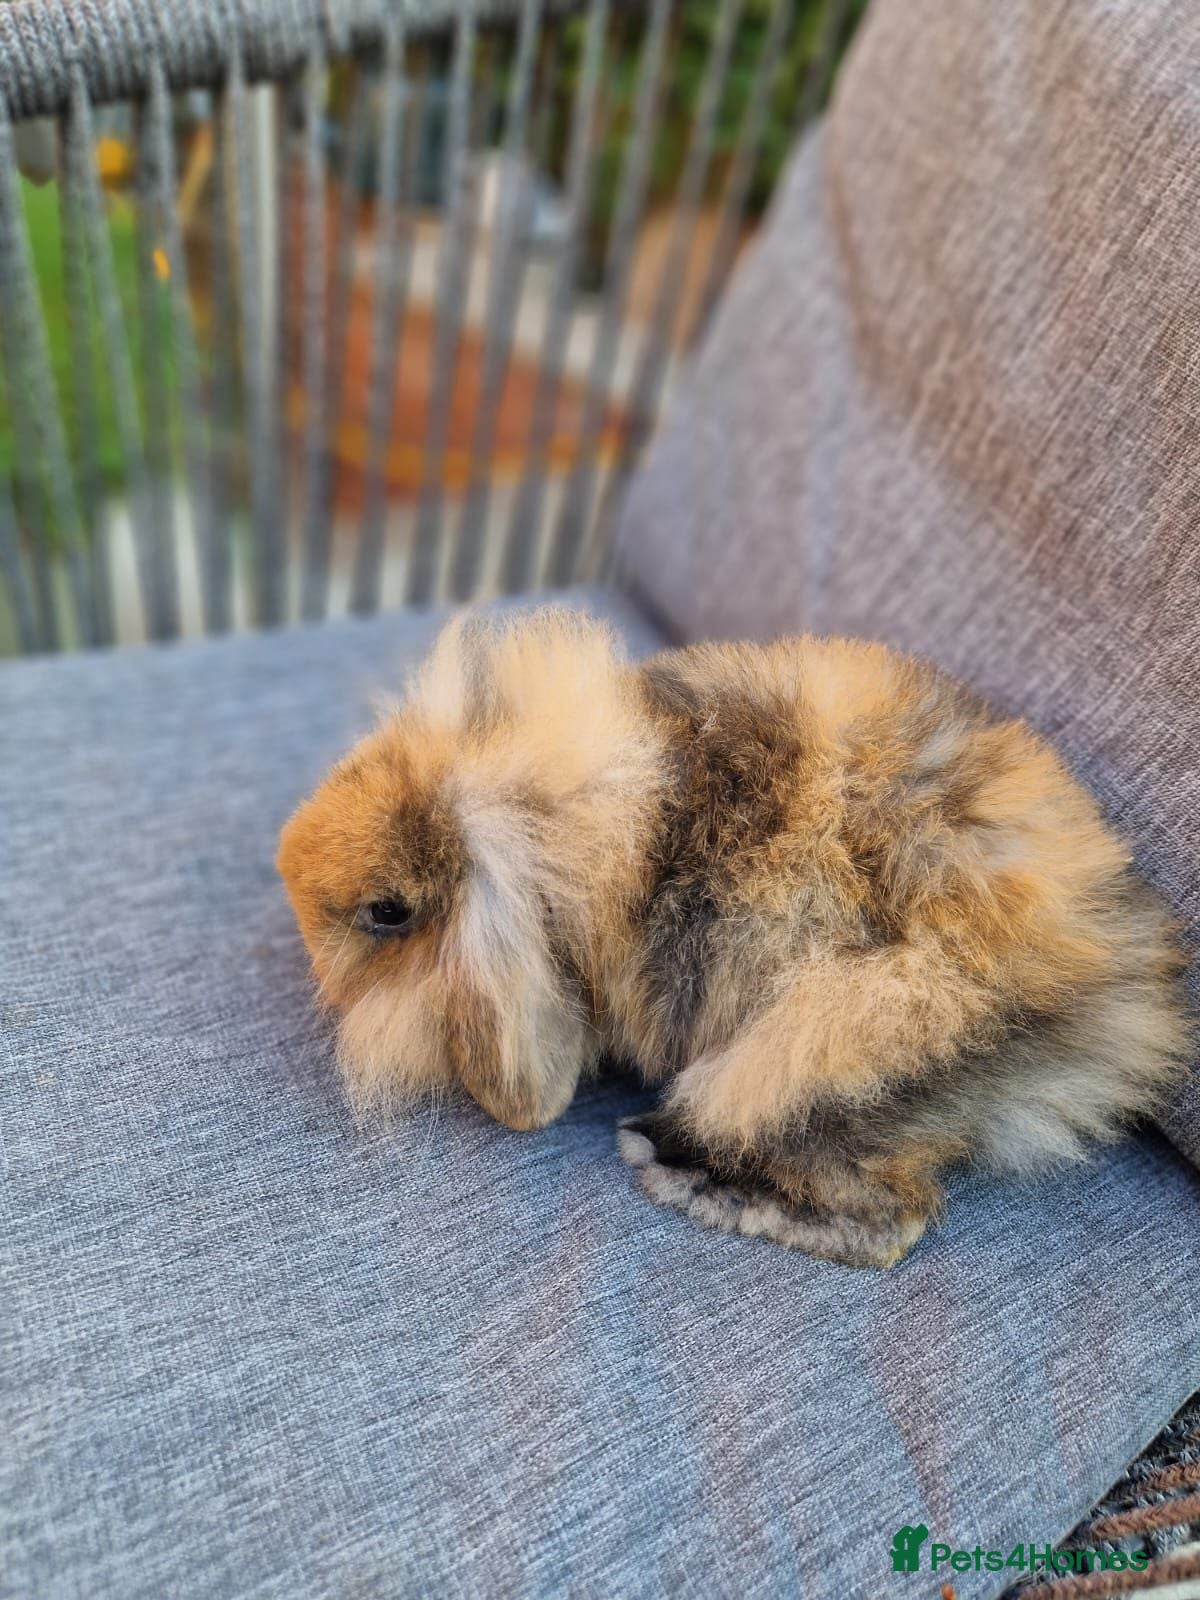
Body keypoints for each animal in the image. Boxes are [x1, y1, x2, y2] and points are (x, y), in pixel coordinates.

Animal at [276, 607, 1190, 1267]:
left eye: (387, 912)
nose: (285, 872)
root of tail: (1123, 1001)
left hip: (835, 1051)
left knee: (885, 1220)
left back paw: (663, 1164)